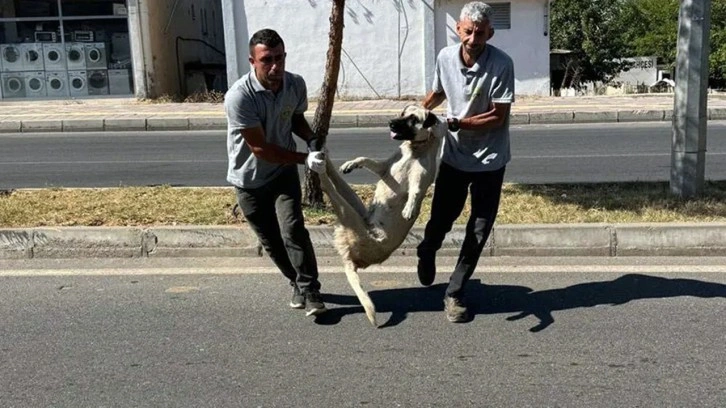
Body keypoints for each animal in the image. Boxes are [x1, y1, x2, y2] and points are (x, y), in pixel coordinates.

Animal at [320, 104, 450, 326]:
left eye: (413, 118)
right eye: (402, 114)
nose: (390, 123)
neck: (414, 151)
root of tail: (350, 258)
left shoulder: (421, 180)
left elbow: (415, 192)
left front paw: (409, 207)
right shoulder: (382, 168)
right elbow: (366, 159)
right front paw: (352, 163)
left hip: (350, 216)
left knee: (330, 187)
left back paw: (318, 167)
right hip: (355, 208)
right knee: (336, 181)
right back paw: (324, 159)